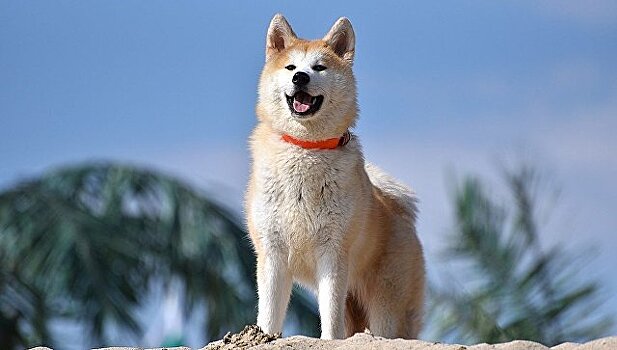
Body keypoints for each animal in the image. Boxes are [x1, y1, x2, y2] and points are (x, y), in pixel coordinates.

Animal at [245, 13, 424, 340]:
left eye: (319, 67)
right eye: (291, 67)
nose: (300, 78)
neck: (306, 149)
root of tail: (401, 212)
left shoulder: (333, 252)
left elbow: (329, 316)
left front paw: (328, 340)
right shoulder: (273, 252)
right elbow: (270, 313)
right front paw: (264, 336)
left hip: (386, 306)